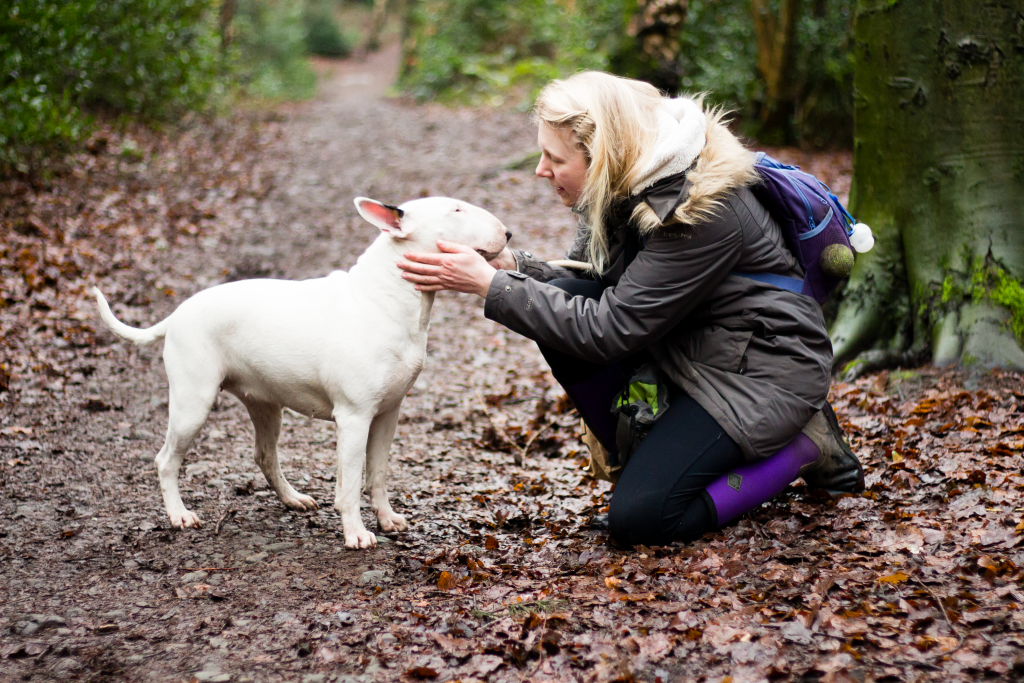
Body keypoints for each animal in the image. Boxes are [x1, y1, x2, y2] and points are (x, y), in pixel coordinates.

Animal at [94, 197, 509, 548]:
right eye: (456, 210)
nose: (507, 234)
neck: (385, 299)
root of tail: (176, 314)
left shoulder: (387, 414)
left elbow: (376, 474)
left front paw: (387, 519)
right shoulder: (354, 417)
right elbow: (349, 484)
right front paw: (356, 535)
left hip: (264, 404)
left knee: (264, 455)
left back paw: (293, 499)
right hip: (192, 403)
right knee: (166, 460)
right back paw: (179, 515)